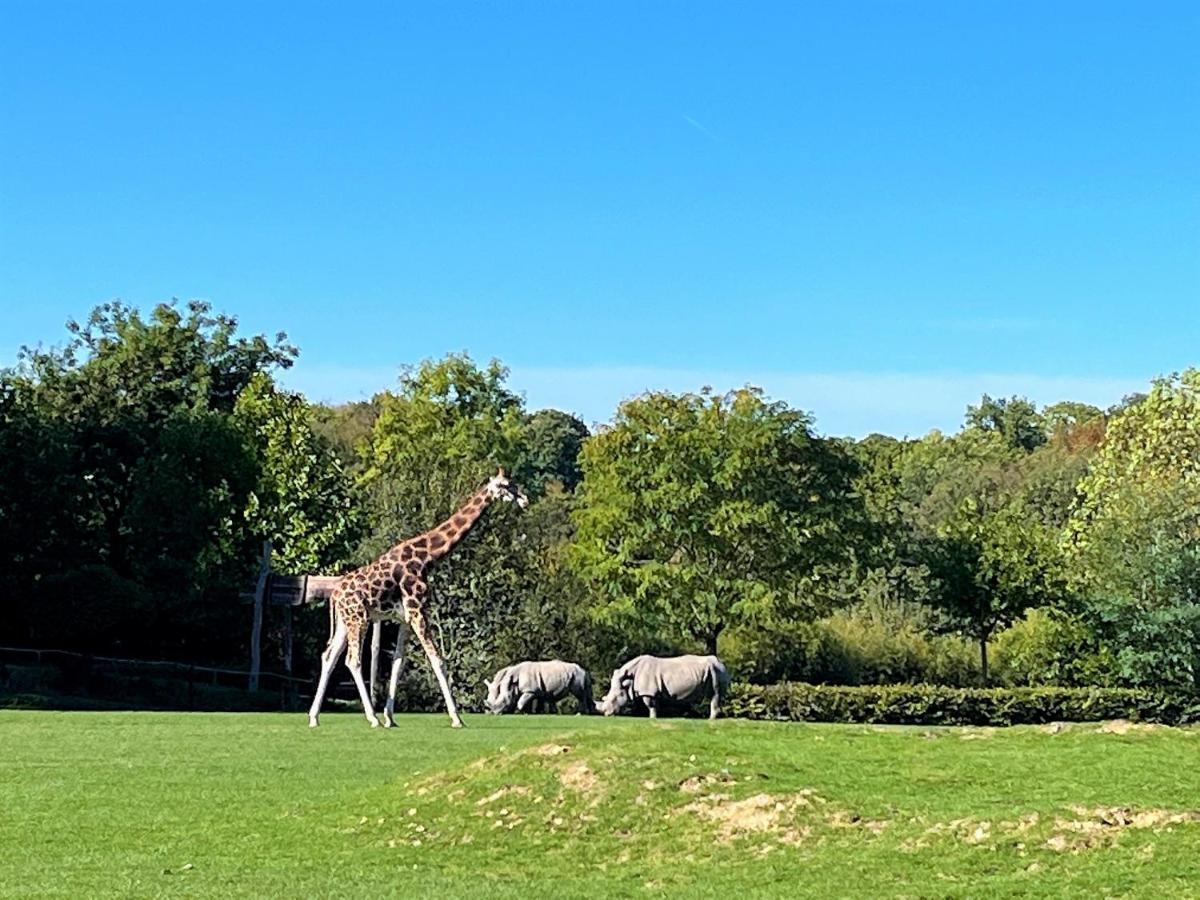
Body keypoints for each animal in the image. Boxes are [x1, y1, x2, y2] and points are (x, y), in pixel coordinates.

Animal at [307, 468, 528, 729]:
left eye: (513, 482)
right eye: (505, 485)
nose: (525, 499)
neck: (427, 557)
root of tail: (335, 595)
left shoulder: (405, 617)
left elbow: (398, 663)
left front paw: (390, 717)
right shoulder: (417, 610)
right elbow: (438, 660)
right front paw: (456, 718)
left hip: (345, 620)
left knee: (329, 656)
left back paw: (314, 717)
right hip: (359, 618)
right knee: (352, 660)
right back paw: (371, 718)